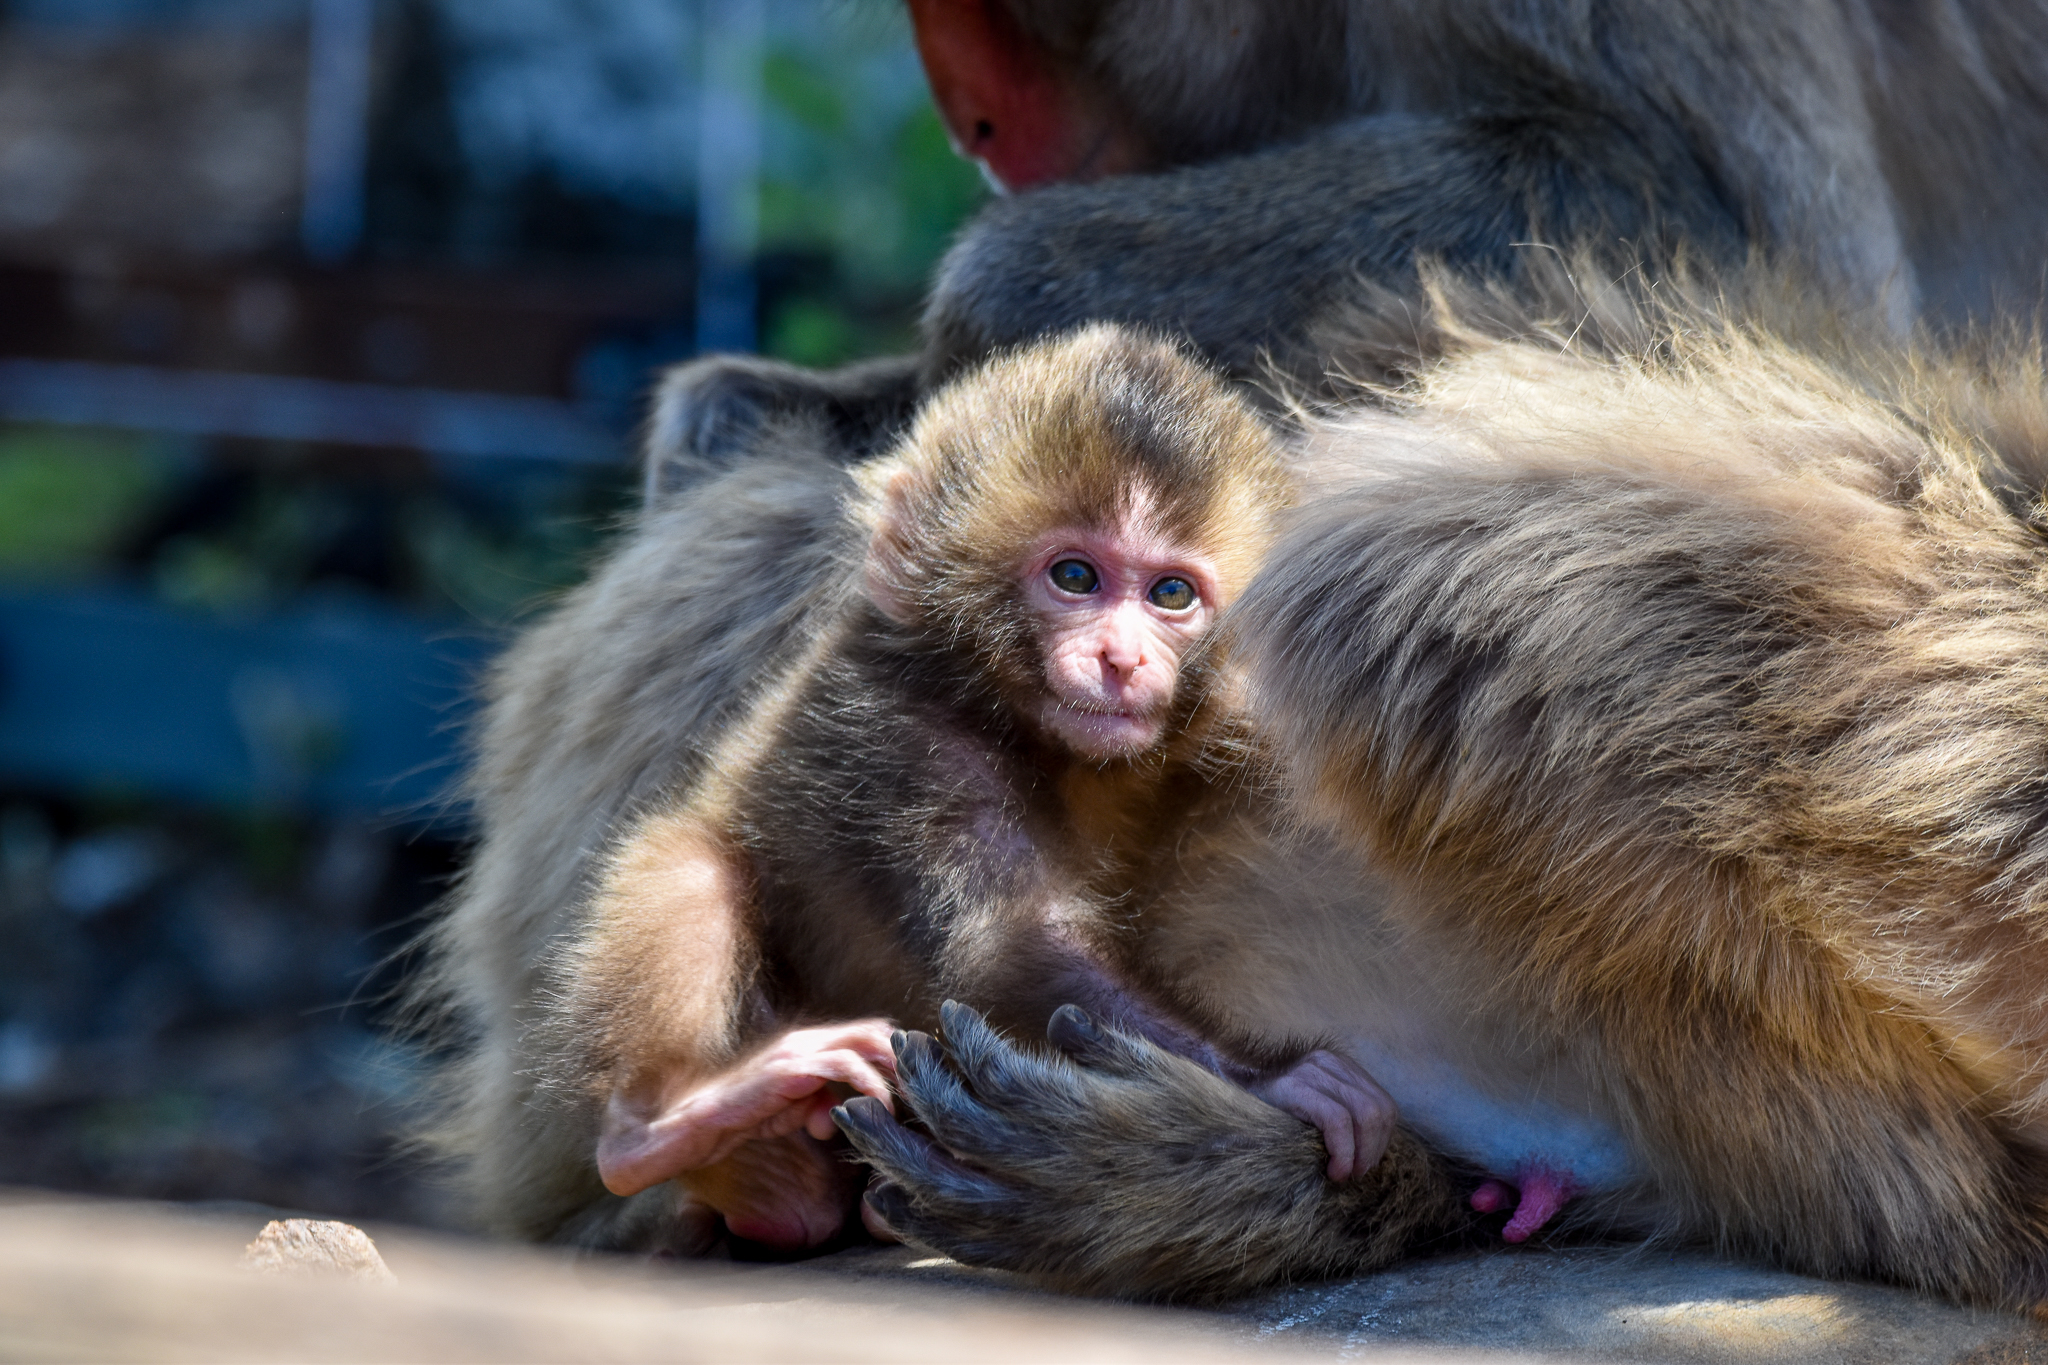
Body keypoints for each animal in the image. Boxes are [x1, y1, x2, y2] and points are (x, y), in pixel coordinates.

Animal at [415, 325, 1458, 1259]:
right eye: (1074, 576)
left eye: (1171, 595)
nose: (1121, 660)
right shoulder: (907, 739)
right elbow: (1005, 948)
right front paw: (1284, 1080)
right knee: (693, 876)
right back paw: (669, 1131)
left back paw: (789, 1186)